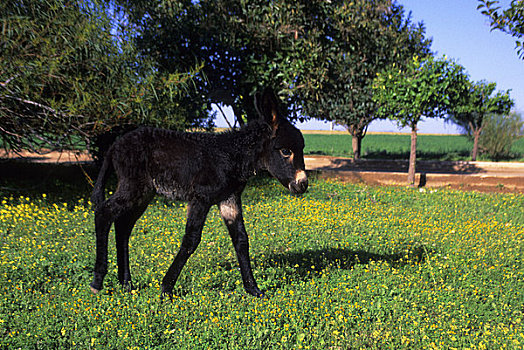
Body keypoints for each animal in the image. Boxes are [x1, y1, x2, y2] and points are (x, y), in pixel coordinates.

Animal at [89, 88, 308, 298]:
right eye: (286, 151)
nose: (303, 184)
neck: (232, 155)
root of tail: (115, 146)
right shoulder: (200, 198)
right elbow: (191, 239)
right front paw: (166, 288)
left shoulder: (229, 199)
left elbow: (241, 240)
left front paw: (253, 289)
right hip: (133, 187)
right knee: (104, 213)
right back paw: (97, 282)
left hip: (143, 194)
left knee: (123, 226)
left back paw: (126, 283)